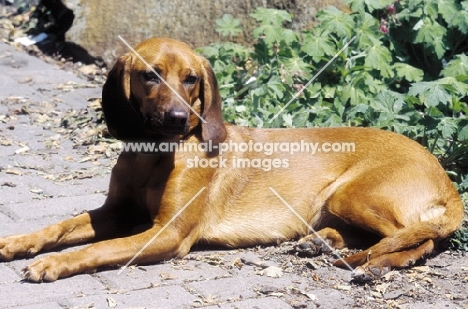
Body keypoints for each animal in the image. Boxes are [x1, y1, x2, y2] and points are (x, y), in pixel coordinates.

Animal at [0, 37, 462, 280]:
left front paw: (54, 262)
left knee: (418, 237)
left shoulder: (166, 232)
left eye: (191, 80)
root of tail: (446, 178)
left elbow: (99, 248)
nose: (178, 118)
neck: (153, 157)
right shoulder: (115, 210)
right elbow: (62, 225)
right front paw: (20, 242)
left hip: (351, 195)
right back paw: (320, 242)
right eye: (150, 75)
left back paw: (379, 263)